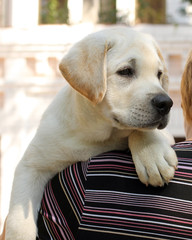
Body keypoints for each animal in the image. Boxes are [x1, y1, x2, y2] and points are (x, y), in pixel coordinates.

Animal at [5, 26, 178, 240]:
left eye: (159, 74)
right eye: (126, 72)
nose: (166, 103)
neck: (100, 135)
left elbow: (139, 130)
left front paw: (152, 156)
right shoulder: (33, 164)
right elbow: (18, 217)